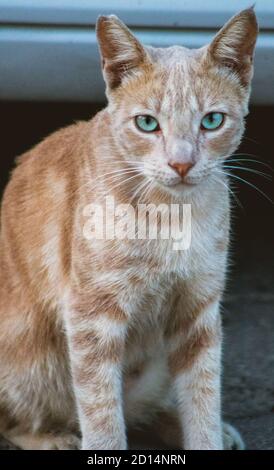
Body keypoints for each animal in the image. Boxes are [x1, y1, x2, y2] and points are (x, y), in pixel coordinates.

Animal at [0, 7, 256, 448]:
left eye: (212, 120)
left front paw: (209, 435)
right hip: (28, 358)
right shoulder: (92, 318)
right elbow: (101, 412)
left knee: (145, 409)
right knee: (18, 419)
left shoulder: (198, 312)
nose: (181, 163)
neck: (171, 215)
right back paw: (53, 437)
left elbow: (202, 397)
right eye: (147, 124)